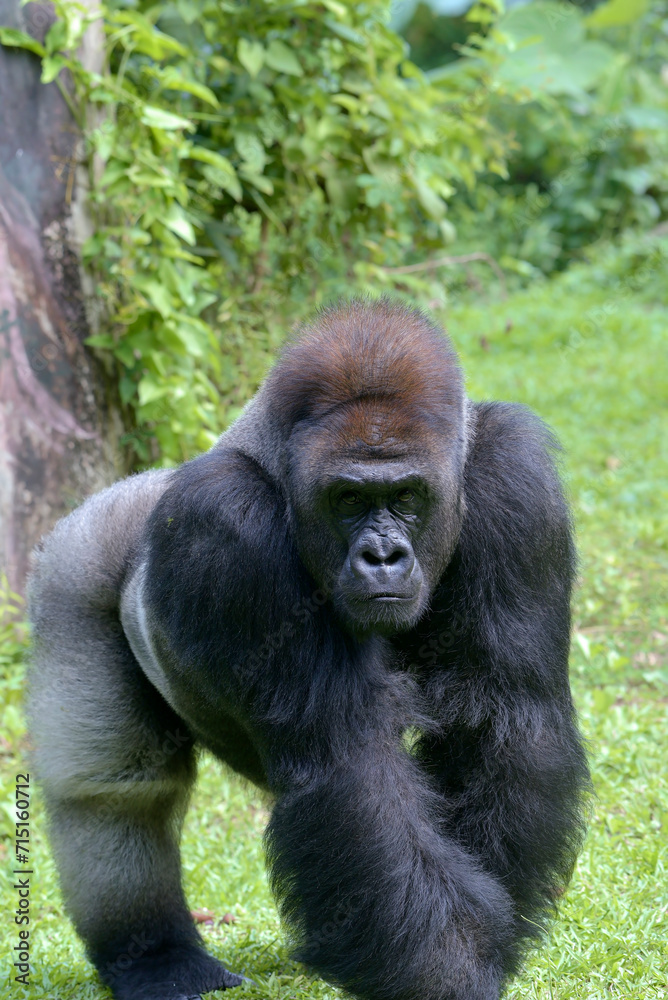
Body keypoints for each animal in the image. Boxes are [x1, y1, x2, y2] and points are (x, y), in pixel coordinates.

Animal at [28, 300, 588, 1000]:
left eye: (406, 497)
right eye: (348, 499)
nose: (382, 555)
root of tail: (138, 490)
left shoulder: (516, 477)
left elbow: (504, 715)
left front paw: (485, 934)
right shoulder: (227, 517)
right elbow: (347, 764)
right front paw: (451, 965)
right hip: (78, 559)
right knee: (113, 793)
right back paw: (155, 957)